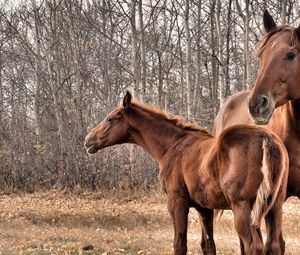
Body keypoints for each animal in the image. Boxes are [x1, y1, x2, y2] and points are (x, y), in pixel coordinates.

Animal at [84, 90, 288, 254]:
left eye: (110, 118)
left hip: (243, 208)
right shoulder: (204, 208)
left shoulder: (177, 202)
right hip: (274, 208)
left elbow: (179, 244)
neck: (173, 145)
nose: (88, 140)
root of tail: (266, 139)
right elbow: (208, 245)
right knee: (273, 246)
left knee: (254, 246)